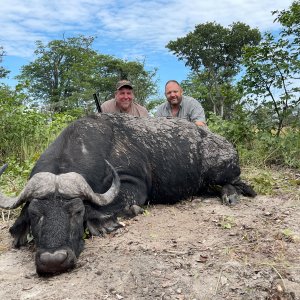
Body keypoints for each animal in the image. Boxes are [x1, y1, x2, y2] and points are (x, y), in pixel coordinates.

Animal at [0, 113, 255, 276]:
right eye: (34, 214)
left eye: (77, 212)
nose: (53, 260)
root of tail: (223, 143)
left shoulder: (134, 186)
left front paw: (104, 222)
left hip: (220, 171)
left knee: (234, 182)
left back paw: (230, 195)